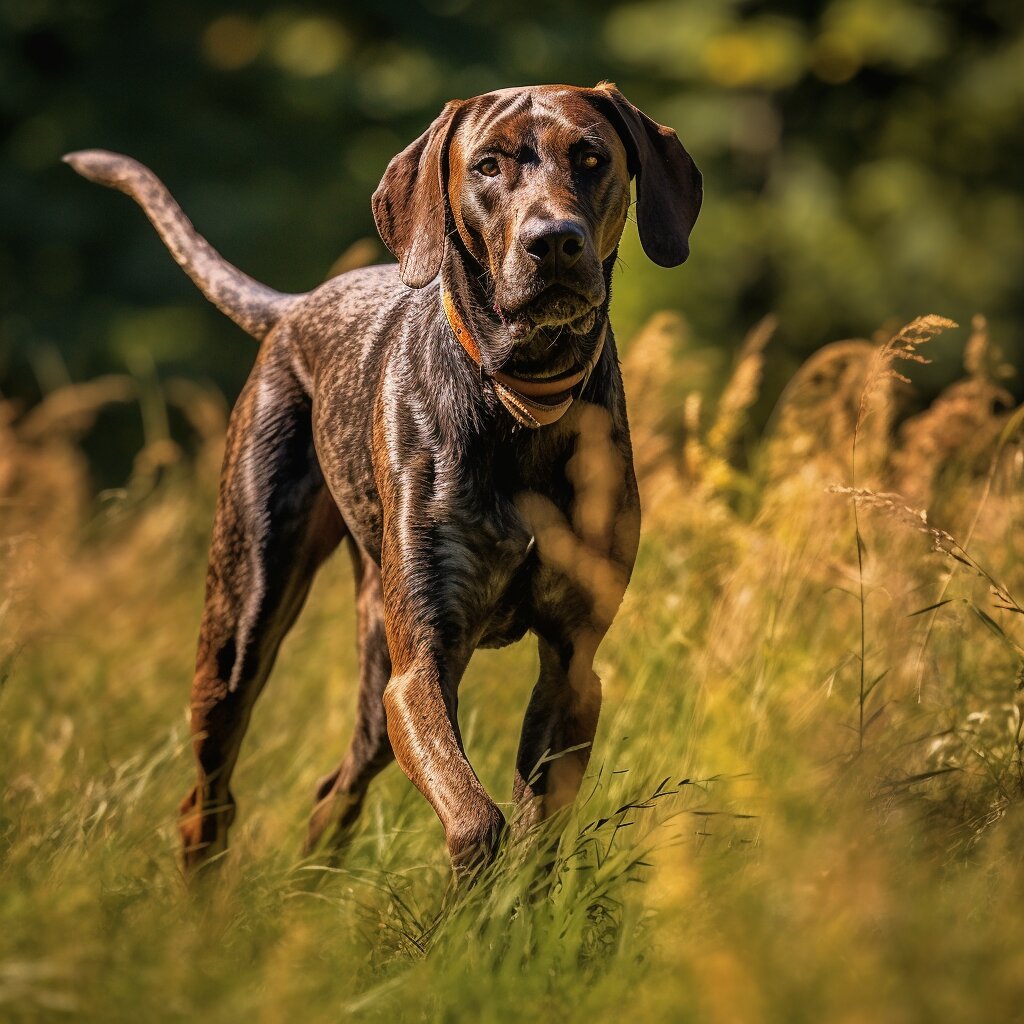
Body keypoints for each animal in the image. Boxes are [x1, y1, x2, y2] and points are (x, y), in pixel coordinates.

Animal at [64, 81, 700, 880]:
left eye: (591, 158)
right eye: (488, 165)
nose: (553, 241)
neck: (521, 397)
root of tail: (296, 305)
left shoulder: (571, 665)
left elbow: (531, 839)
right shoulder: (421, 665)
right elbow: (475, 816)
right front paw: (470, 893)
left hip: (370, 674)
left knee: (334, 792)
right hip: (244, 625)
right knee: (207, 800)